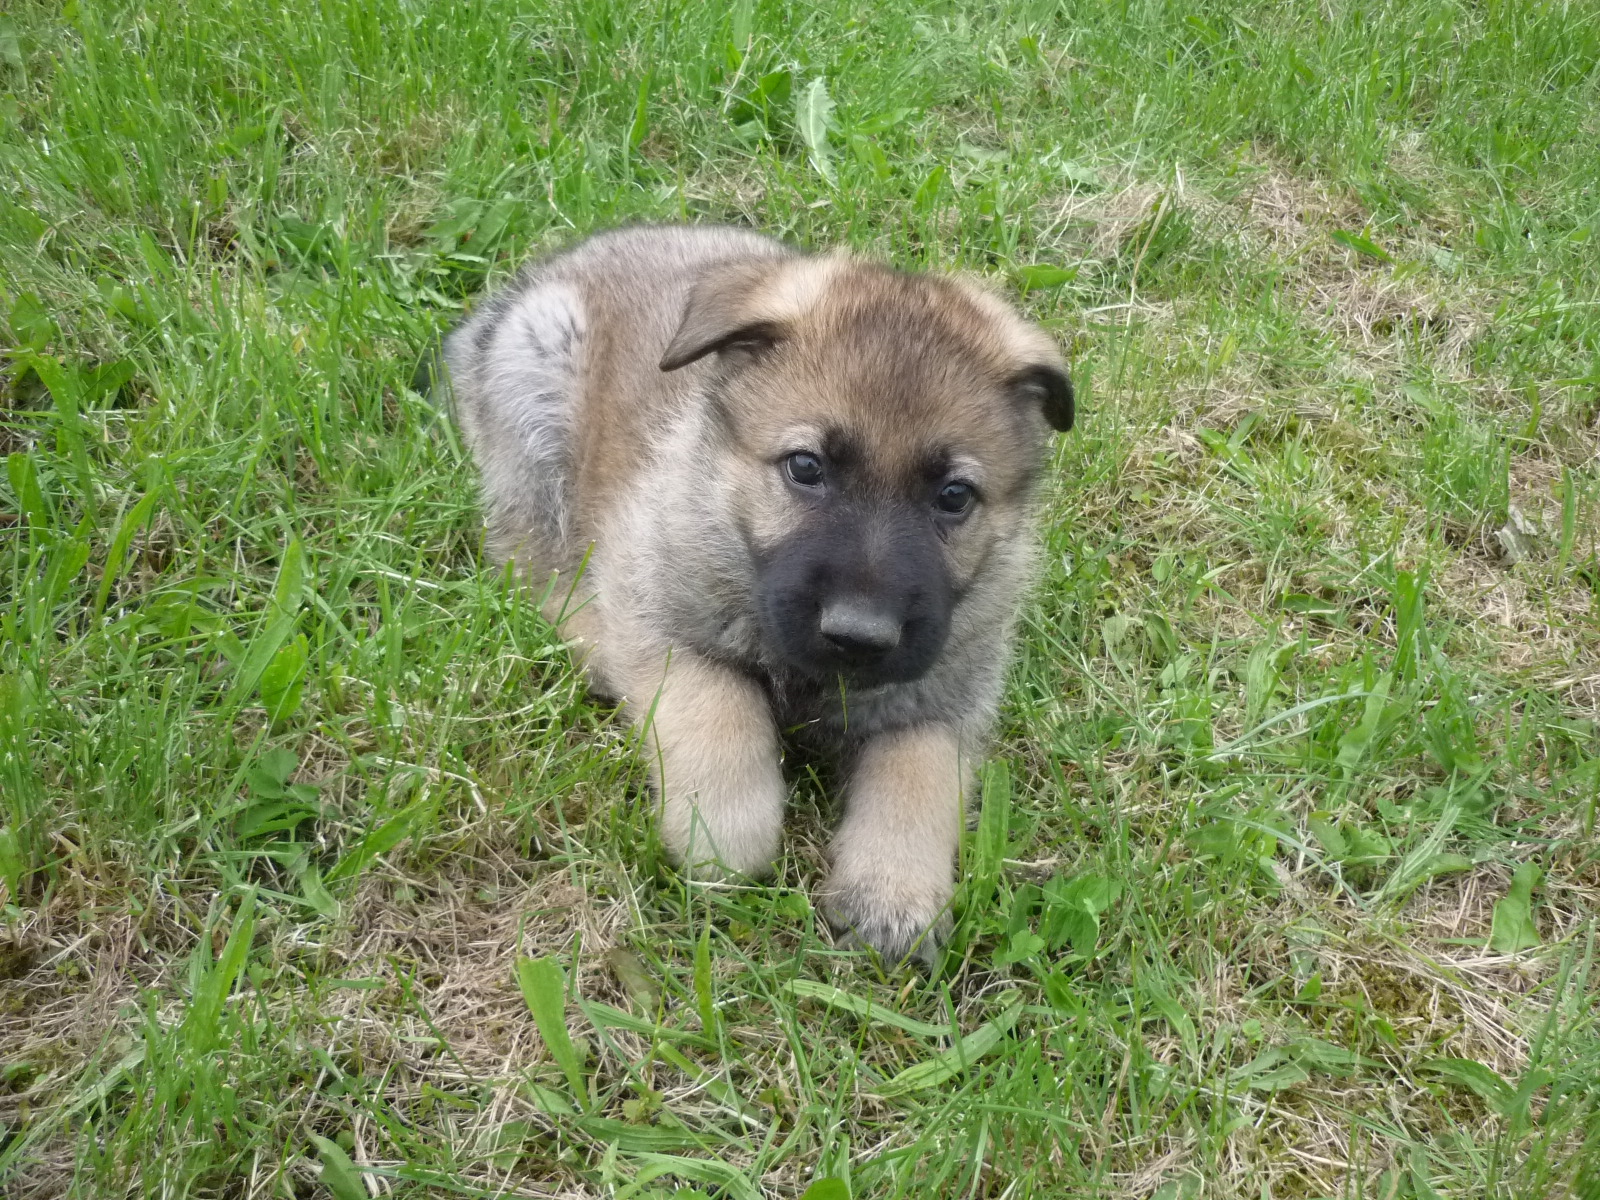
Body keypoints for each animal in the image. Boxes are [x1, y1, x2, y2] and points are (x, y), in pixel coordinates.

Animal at [443, 225, 1072, 961]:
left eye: (953, 497)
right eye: (805, 467)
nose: (859, 635)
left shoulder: (946, 697)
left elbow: (919, 774)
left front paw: (894, 890)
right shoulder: (656, 612)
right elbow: (719, 707)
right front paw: (723, 835)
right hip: (537, 411)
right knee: (535, 570)